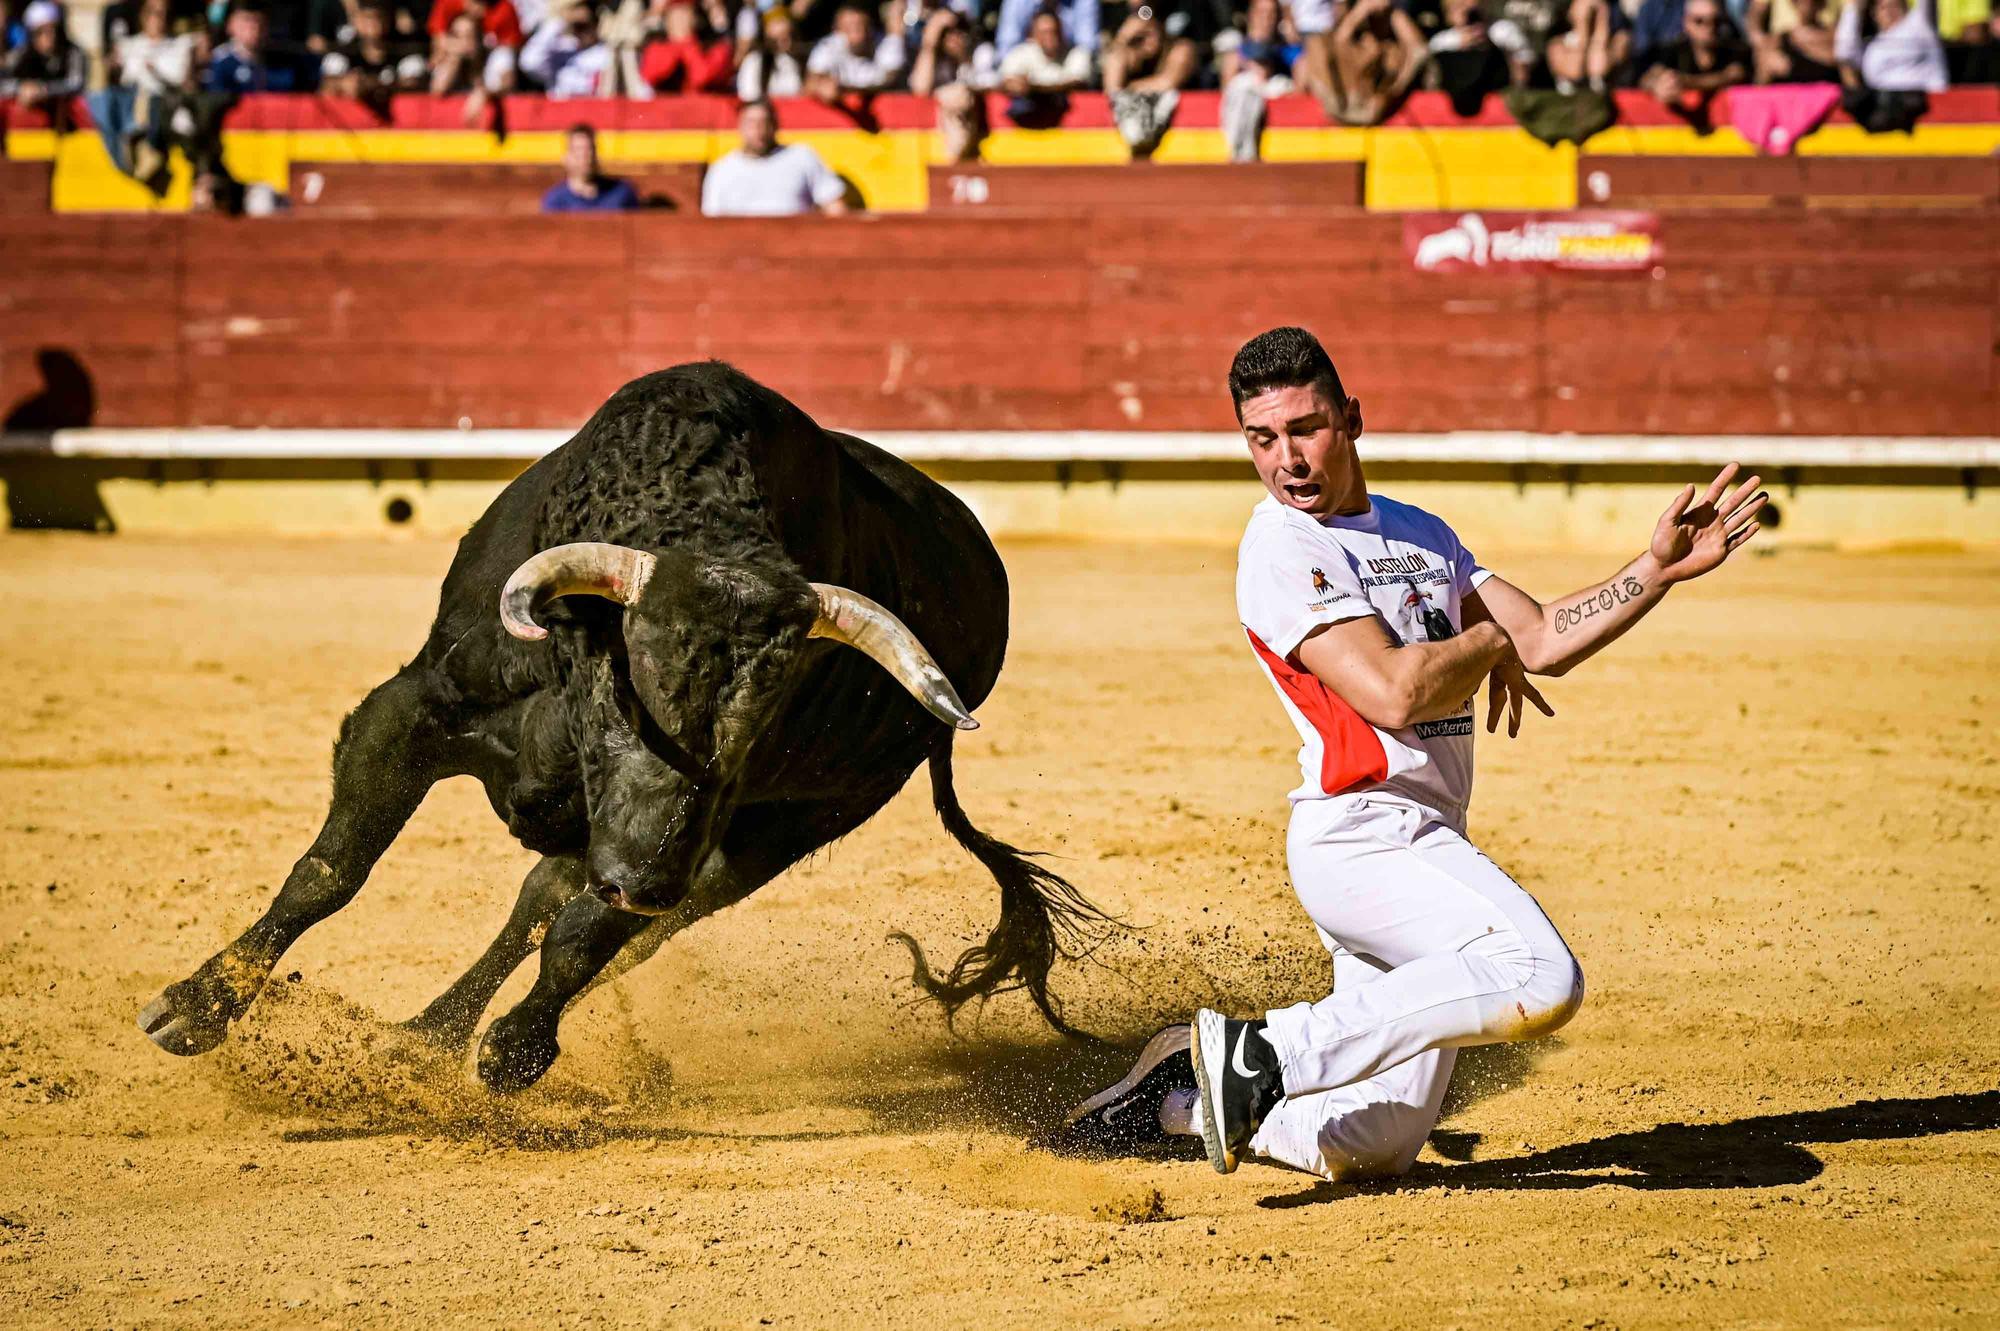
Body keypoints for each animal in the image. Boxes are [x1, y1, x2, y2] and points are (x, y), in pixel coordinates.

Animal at [137, 363, 1112, 1087]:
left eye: (774, 716)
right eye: (639, 674)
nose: (642, 880)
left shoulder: (715, 829)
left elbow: (585, 936)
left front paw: (514, 1053)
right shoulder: (414, 709)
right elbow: (331, 870)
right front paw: (194, 1008)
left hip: (772, 838)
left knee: (605, 927)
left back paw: (459, 1040)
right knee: (546, 900)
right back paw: (419, 1040)